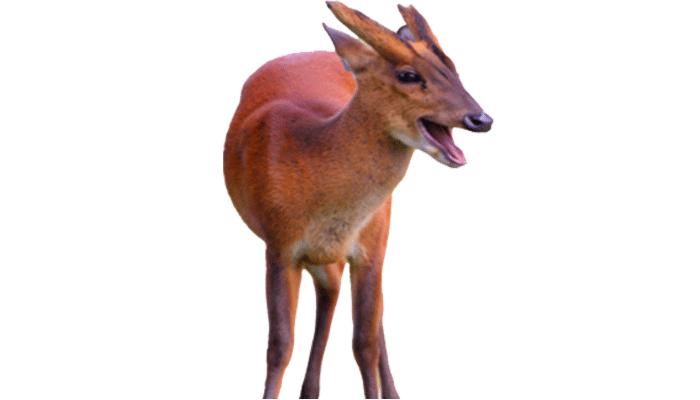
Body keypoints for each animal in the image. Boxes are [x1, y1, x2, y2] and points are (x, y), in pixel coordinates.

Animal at [223, 2, 492, 398]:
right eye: (408, 75)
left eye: (453, 69)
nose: (481, 118)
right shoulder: (279, 245)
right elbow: (280, 344)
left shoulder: (370, 248)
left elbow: (364, 342)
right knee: (331, 290)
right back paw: (310, 389)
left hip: (380, 232)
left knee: (369, 318)